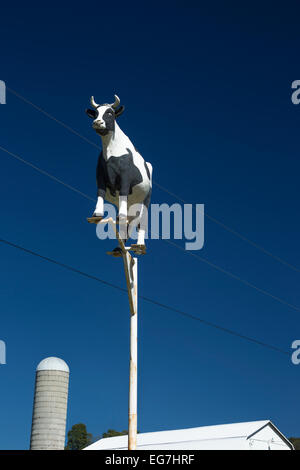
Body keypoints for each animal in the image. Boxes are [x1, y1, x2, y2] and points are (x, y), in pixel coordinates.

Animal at [86, 93, 152, 248]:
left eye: (110, 113)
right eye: (95, 113)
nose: (97, 122)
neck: (110, 150)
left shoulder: (125, 177)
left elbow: (123, 192)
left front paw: (119, 214)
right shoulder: (100, 175)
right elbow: (100, 192)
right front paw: (96, 214)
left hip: (145, 200)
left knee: (141, 222)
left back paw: (139, 246)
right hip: (132, 205)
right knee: (128, 224)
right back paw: (118, 248)